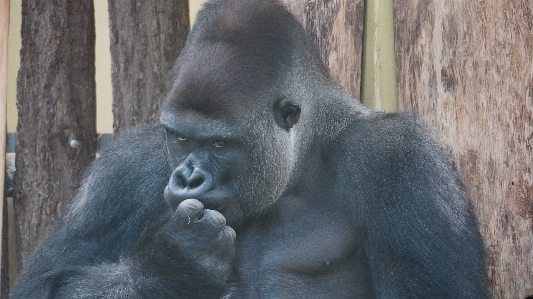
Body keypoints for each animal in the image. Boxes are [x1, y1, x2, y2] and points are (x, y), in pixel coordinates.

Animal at [12, 0, 488, 299]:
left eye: (220, 144)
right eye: (181, 137)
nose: (188, 177)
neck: (305, 156)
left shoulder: (401, 160)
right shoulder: (122, 171)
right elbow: (41, 285)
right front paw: (170, 267)